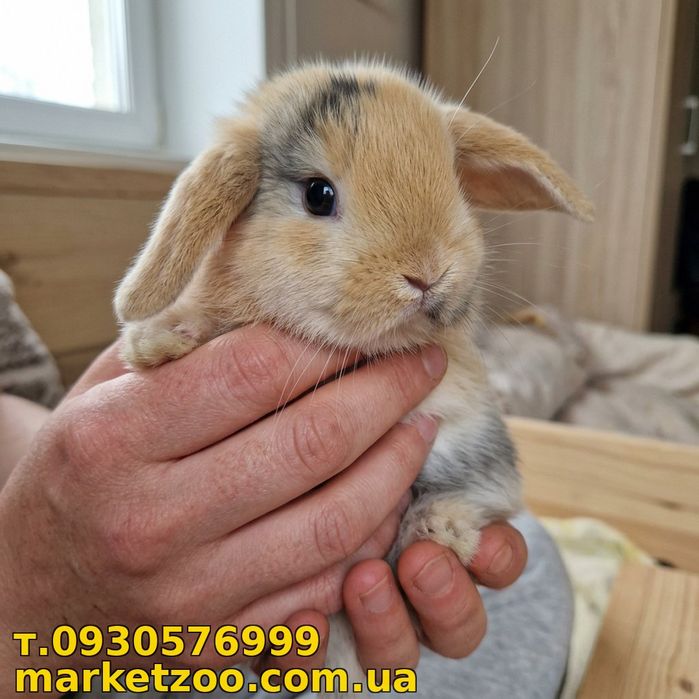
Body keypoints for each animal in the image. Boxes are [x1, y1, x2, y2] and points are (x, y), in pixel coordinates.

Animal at [115, 61, 593, 696]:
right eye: (319, 195)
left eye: (453, 181)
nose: (427, 272)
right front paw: (151, 342)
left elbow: (494, 490)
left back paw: (440, 532)